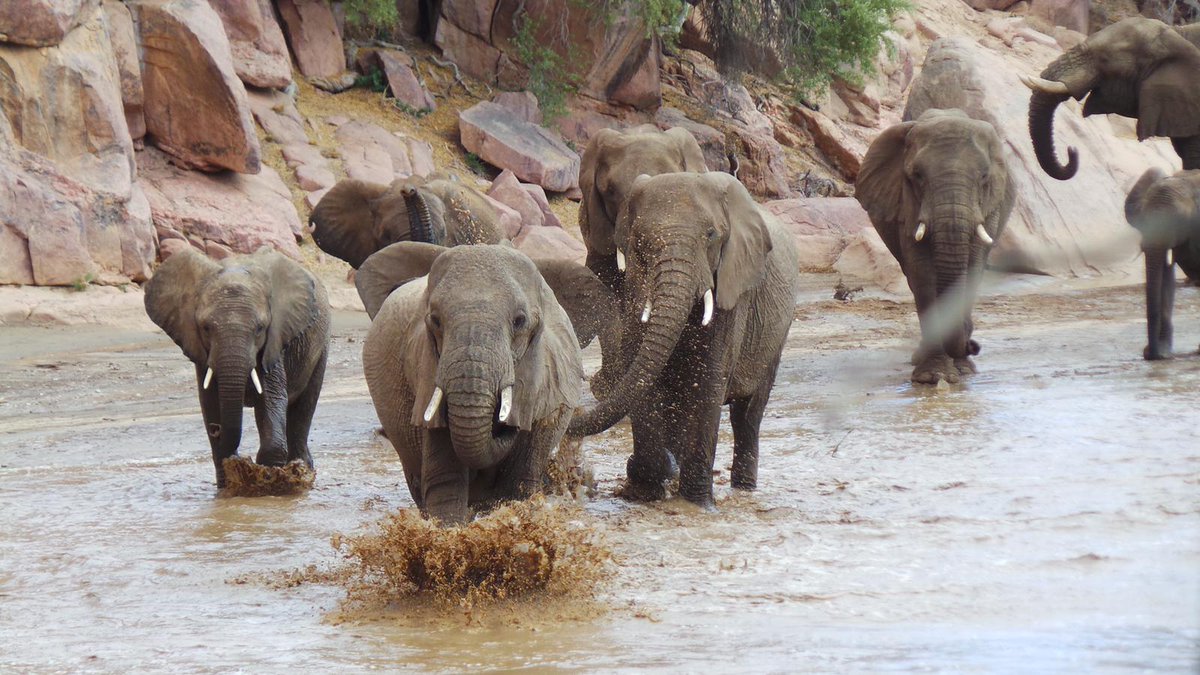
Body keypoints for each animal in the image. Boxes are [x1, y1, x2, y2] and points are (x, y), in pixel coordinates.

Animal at [144, 247, 331, 488]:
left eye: (260, 328)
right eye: (205, 328)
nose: (216, 429)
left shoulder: (275, 341)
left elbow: (271, 397)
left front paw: (269, 476)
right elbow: (210, 401)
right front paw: (230, 481)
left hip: (321, 347)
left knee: (304, 409)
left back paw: (302, 470)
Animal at [566, 171, 800, 509]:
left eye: (711, 235)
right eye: (640, 242)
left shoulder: (732, 290)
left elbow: (708, 382)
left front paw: (697, 503)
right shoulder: (636, 284)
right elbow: (644, 377)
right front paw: (648, 487)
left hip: (777, 333)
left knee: (748, 415)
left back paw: (743, 489)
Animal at [856, 108, 1014, 384]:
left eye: (984, 177)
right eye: (917, 175)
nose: (972, 345)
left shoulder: (990, 209)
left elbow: (972, 268)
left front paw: (962, 371)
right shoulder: (907, 204)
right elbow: (923, 274)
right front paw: (933, 376)